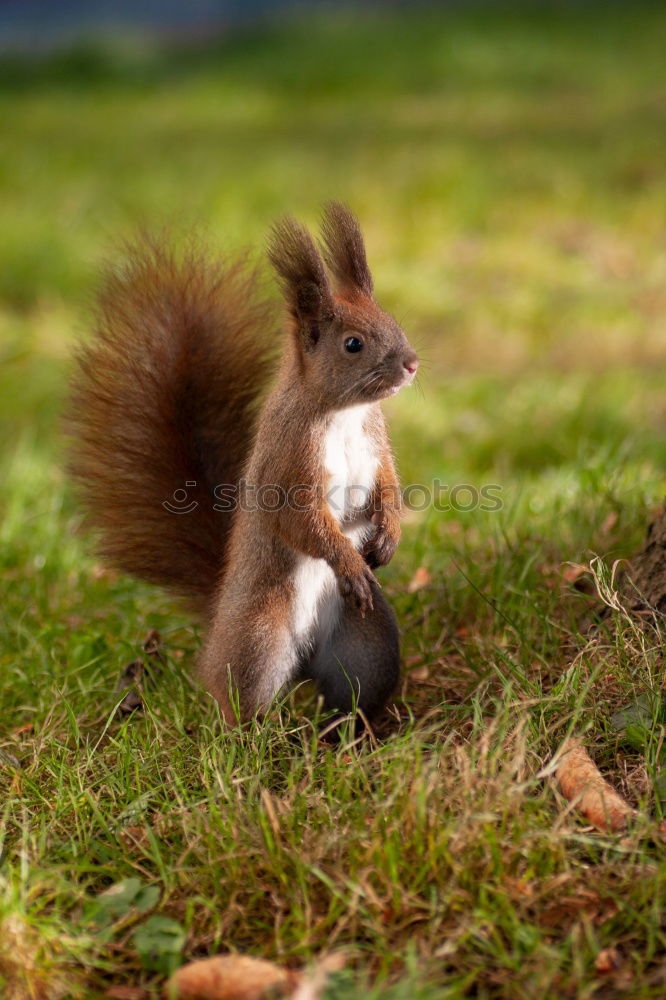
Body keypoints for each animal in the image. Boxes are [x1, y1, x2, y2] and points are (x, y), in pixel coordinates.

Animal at [70, 203, 418, 724]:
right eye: (353, 344)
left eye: (392, 319)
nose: (412, 364)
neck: (343, 411)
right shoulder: (288, 460)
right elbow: (298, 520)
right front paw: (346, 557)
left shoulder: (376, 446)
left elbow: (388, 485)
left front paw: (390, 532)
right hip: (260, 636)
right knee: (236, 693)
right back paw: (256, 735)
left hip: (368, 640)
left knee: (353, 693)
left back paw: (353, 731)